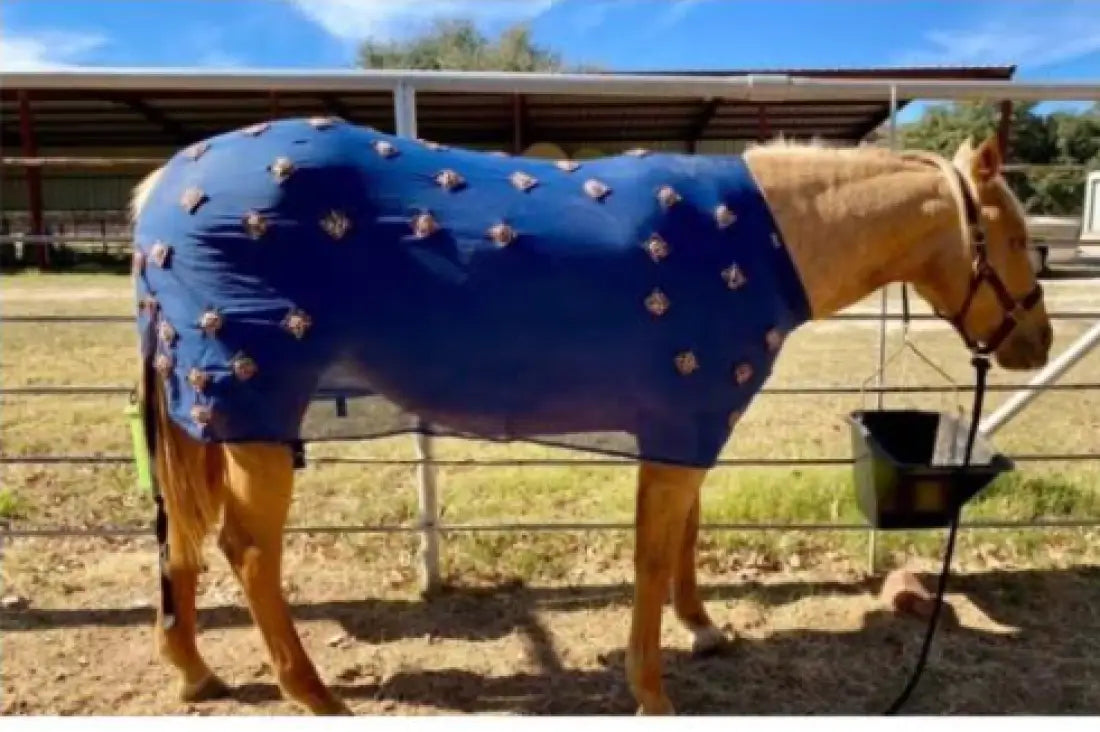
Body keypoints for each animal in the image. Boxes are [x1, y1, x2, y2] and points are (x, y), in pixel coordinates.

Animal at [128, 122, 1051, 715]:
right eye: (1011, 236)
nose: (1036, 342)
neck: (767, 240)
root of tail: (160, 190)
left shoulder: (688, 426)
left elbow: (687, 538)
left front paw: (703, 629)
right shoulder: (679, 427)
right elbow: (652, 556)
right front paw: (652, 692)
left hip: (208, 422)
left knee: (180, 535)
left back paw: (194, 672)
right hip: (253, 413)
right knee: (249, 552)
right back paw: (315, 696)